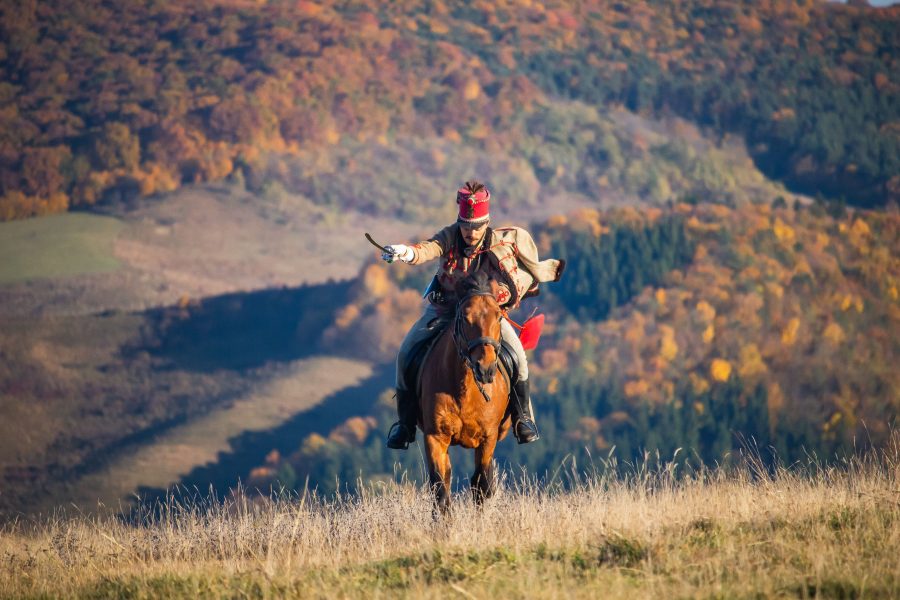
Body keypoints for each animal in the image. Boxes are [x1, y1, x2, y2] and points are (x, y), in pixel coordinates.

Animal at [416, 270, 510, 512]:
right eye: (465, 318)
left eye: (499, 317)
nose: (485, 368)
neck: (464, 392)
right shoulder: (435, 436)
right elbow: (441, 490)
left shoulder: (488, 438)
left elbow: (481, 485)